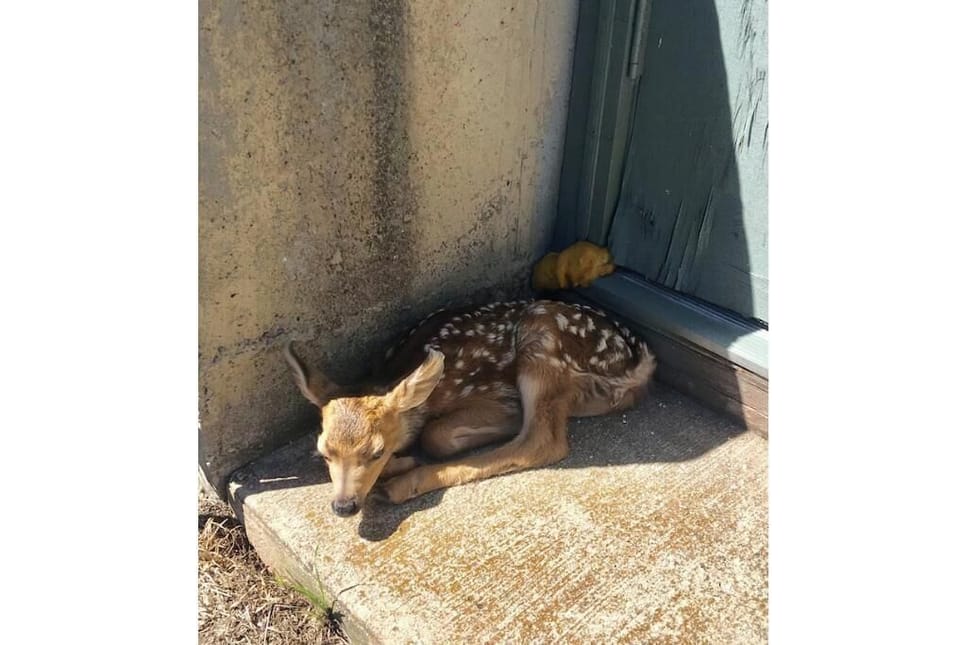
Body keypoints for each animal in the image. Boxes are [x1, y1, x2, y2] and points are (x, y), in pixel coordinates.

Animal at [284, 299, 656, 517]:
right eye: (324, 453)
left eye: (376, 452)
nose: (343, 506)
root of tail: (637, 360)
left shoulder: (491, 393)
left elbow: (436, 435)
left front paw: (400, 466)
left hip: (543, 341)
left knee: (541, 441)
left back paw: (400, 485)